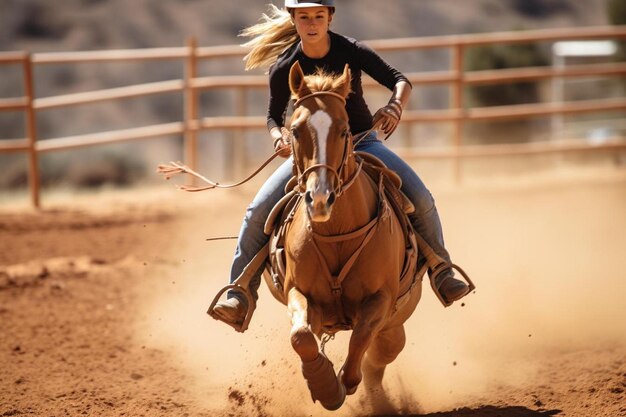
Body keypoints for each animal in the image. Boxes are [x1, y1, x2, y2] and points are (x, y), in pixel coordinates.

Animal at [264, 61, 424, 410]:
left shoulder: (381, 299)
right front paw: (323, 385)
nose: (320, 198)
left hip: (395, 323)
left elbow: (360, 342)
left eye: (344, 129)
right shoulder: (298, 291)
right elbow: (301, 336)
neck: (337, 236)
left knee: (380, 356)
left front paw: (341, 384)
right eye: (296, 130)